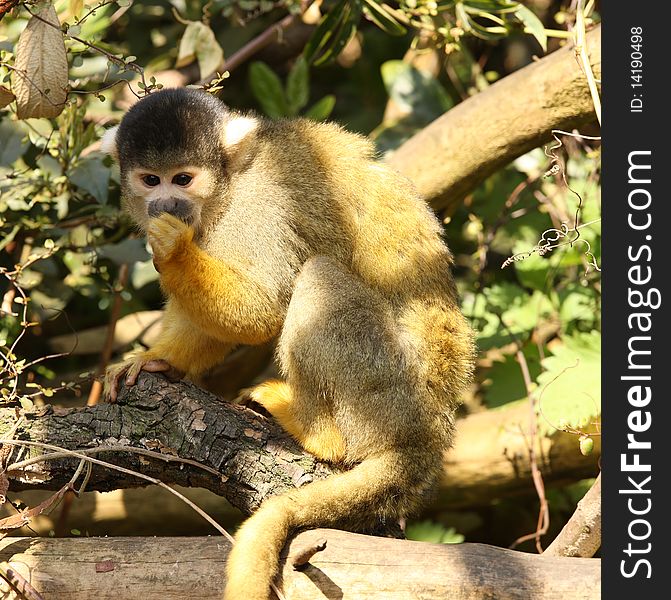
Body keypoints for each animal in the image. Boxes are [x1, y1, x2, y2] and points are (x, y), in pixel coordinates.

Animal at [102, 88, 476, 600]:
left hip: (393, 396)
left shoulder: (261, 205)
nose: (164, 204)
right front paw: (157, 359)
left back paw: (318, 431)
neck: (228, 188)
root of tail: (427, 439)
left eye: (183, 179)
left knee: (318, 278)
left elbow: (262, 306)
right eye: (150, 180)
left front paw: (175, 251)